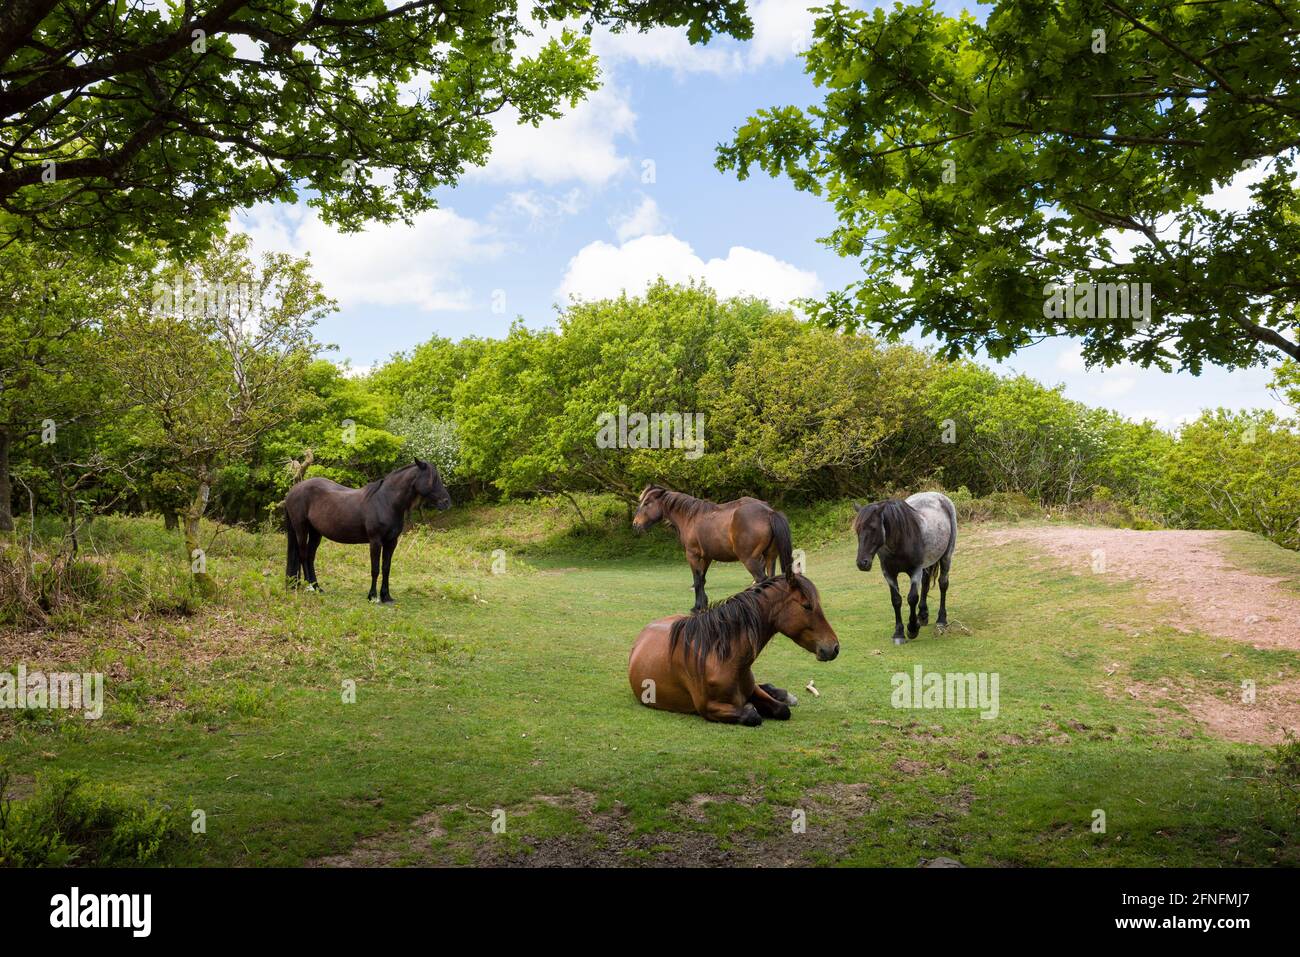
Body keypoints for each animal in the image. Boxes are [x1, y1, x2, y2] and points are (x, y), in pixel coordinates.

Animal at [282, 457, 449, 605]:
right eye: (433, 479)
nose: (447, 502)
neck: (386, 502)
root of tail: (293, 491)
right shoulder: (375, 541)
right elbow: (375, 569)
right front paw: (372, 596)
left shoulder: (391, 542)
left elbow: (386, 568)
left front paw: (386, 596)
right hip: (301, 529)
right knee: (303, 556)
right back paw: (310, 587)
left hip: (316, 533)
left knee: (310, 557)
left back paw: (317, 587)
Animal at [629, 574, 842, 722]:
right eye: (806, 606)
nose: (834, 647)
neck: (719, 656)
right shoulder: (709, 708)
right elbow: (752, 716)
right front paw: (752, 709)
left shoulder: (752, 690)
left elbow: (782, 710)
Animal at [634, 486, 795, 613]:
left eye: (647, 503)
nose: (635, 524)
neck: (690, 517)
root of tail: (769, 512)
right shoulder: (707, 557)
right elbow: (702, 579)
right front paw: (703, 604)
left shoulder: (692, 555)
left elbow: (697, 579)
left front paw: (697, 607)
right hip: (770, 557)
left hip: (750, 560)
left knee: (761, 580)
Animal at [852, 494, 956, 642]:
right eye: (858, 530)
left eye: (873, 528)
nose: (862, 563)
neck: (900, 541)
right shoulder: (889, 573)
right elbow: (896, 600)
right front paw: (899, 633)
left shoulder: (915, 570)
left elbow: (912, 598)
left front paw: (912, 629)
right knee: (925, 583)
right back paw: (923, 615)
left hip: (946, 556)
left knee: (943, 584)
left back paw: (941, 620)